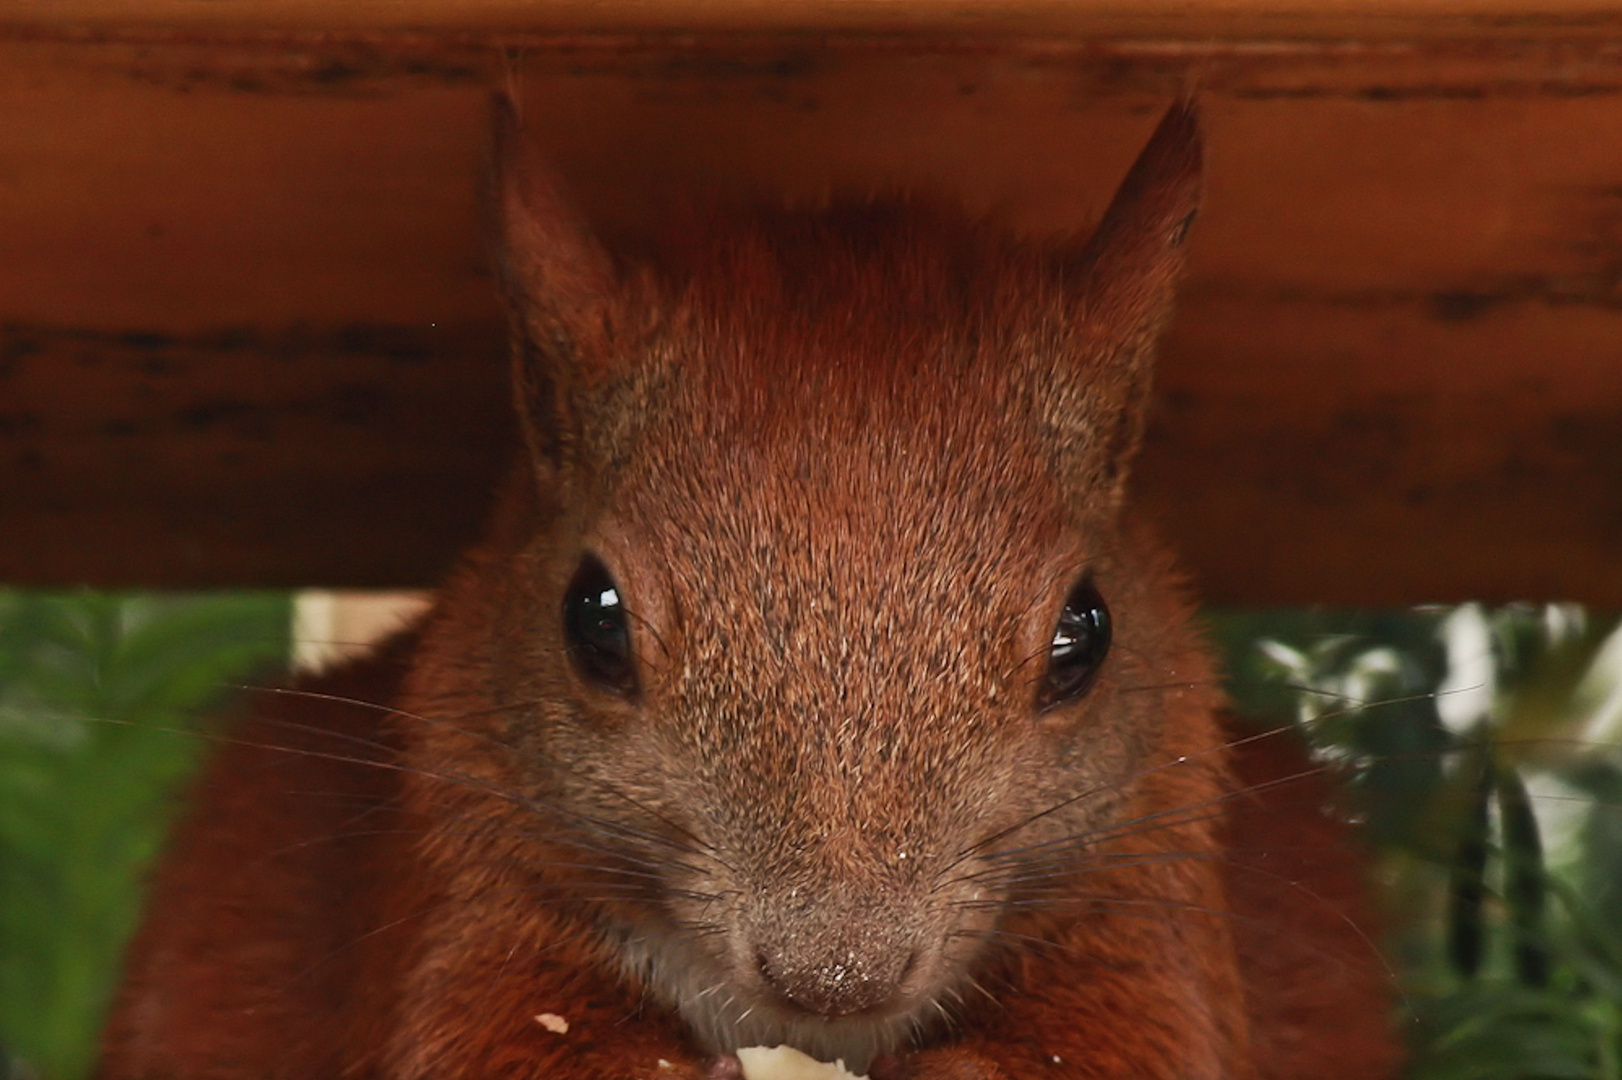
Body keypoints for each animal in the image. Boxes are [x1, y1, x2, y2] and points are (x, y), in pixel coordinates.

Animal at [94, 100, 1401, 1076]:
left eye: (1086, 632)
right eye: (591, 618)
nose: (836, 973)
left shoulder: (1151, 906)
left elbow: (1135, 1046)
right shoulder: (461, 888)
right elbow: (478, 1038)